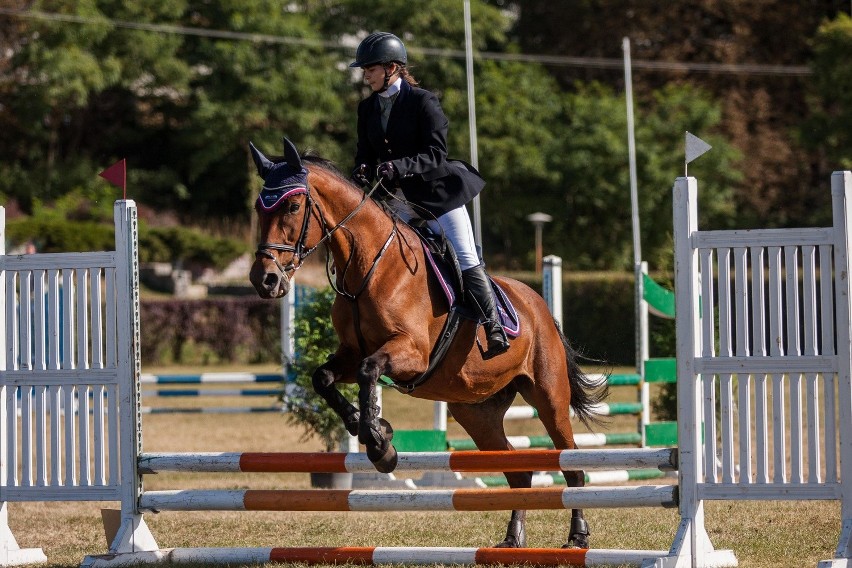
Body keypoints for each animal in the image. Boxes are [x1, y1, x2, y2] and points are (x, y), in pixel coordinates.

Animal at [250, 138, 608, 552]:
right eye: (259, 207)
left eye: (293, 206)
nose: (264, 280)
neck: (369, 266)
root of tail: (540, 306)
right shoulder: (351, 352)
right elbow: (323, 378)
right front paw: (369, 427)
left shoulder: (410, 353)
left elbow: (368, 371)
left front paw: (380, 445)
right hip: (476, 413)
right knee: (518, 472)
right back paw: (512, 539)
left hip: (548, 396)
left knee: (573, 465)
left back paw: (577, 537)